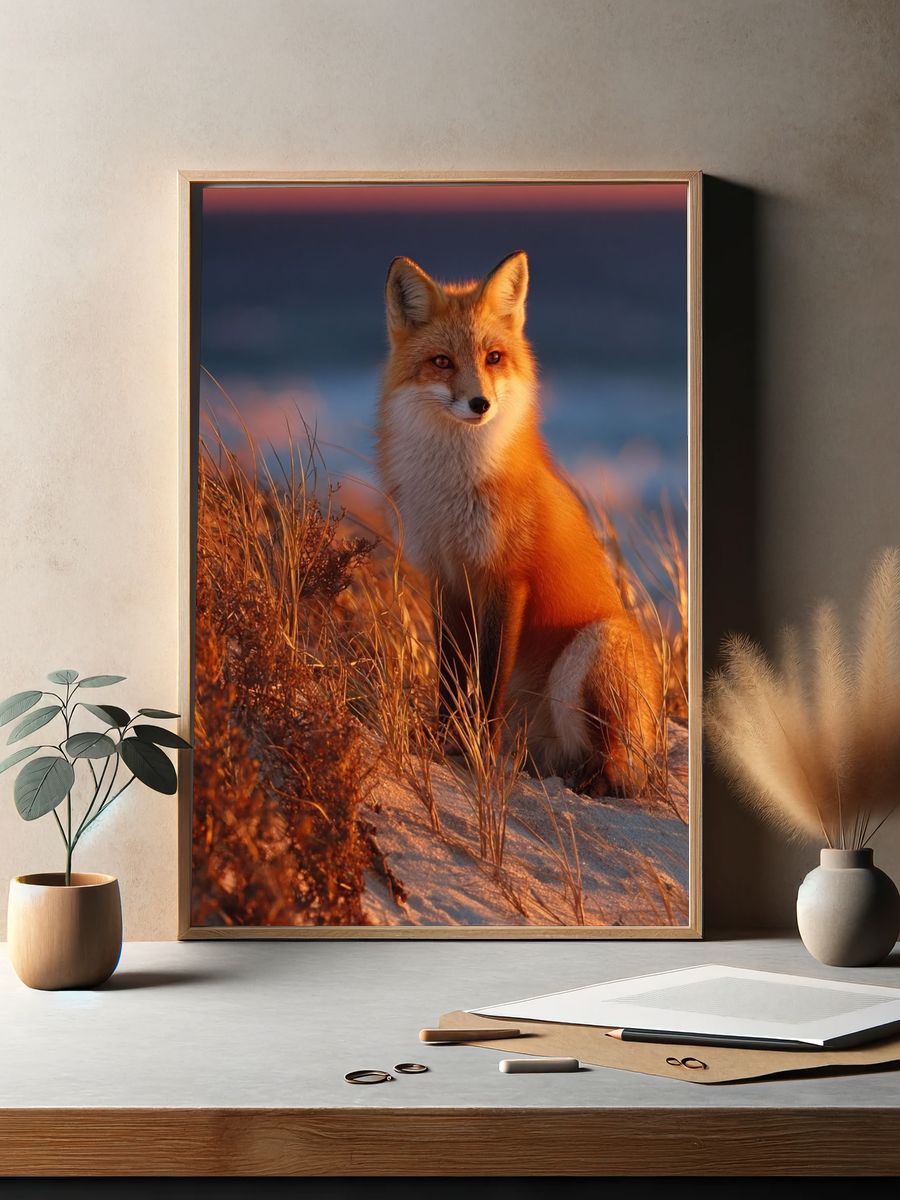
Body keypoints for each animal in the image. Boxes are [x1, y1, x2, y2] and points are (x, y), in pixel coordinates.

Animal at [376, 250, 661, 795]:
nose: (480, 404)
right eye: (442, 362)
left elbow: (489, 680)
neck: (454, 487)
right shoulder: (446, 578)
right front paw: (444, 740)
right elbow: (450, 677)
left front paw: (478, 753)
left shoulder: (506, 579)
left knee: (620, 772)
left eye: (493, 358)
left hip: (595, 644)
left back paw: (589, 781)